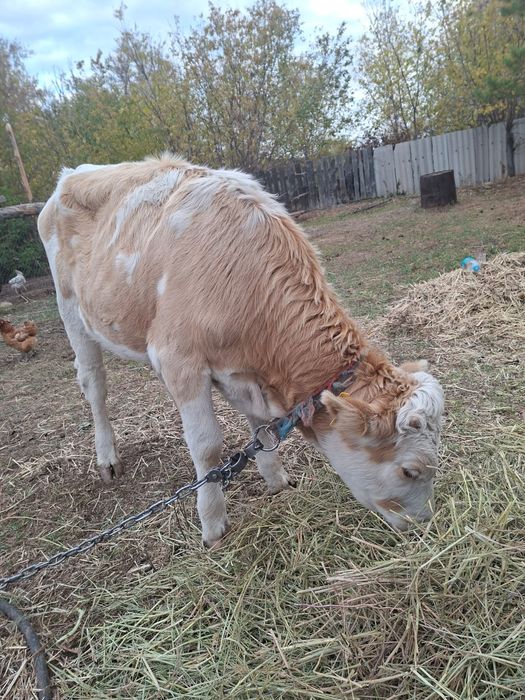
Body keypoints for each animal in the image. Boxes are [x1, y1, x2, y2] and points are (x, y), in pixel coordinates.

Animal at [38, 155, 444, 547]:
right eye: (409, 470)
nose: (425, 526)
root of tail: (72, 175)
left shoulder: (243, 370)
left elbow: (261, 428)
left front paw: (276, 479)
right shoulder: (178, 357)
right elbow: (207, 446)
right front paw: (212, 523)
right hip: (70, 307)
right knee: (94, 384)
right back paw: (107, 458)